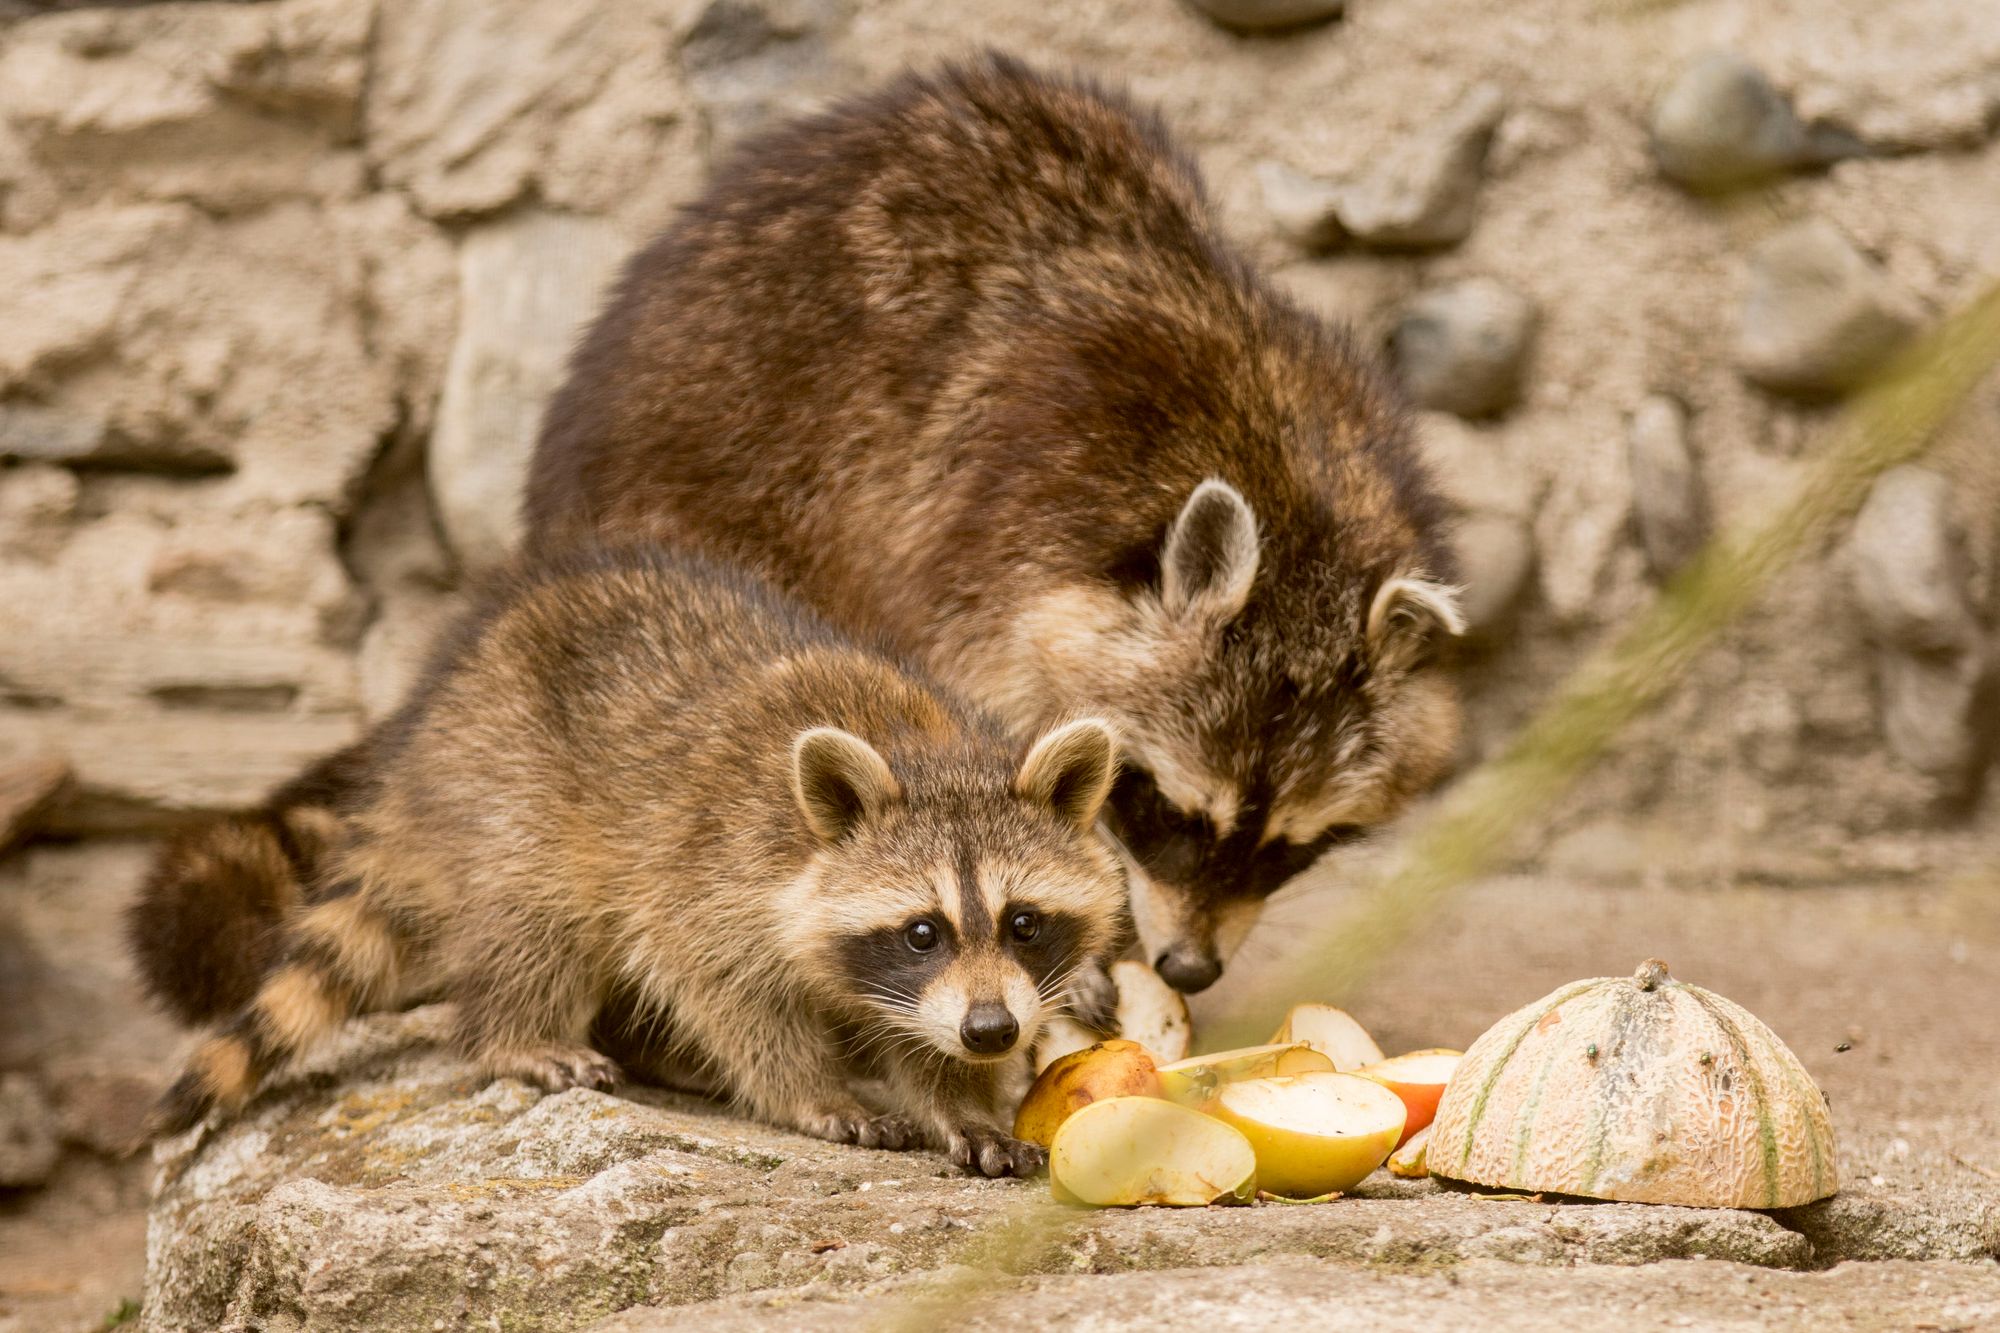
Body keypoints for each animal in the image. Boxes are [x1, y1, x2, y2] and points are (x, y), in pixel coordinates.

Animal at [135, 544, 1136, 1168]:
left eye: (1024, 922)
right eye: (923, 931)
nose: (992, 1031)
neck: (928, 752)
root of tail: (429, 727)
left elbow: (920, 1032)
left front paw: (958, 1096)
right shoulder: (714, 874)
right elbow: (725, 987)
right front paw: (808, 1087)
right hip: (511, 789)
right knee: (539, 922)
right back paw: (523, 1032)